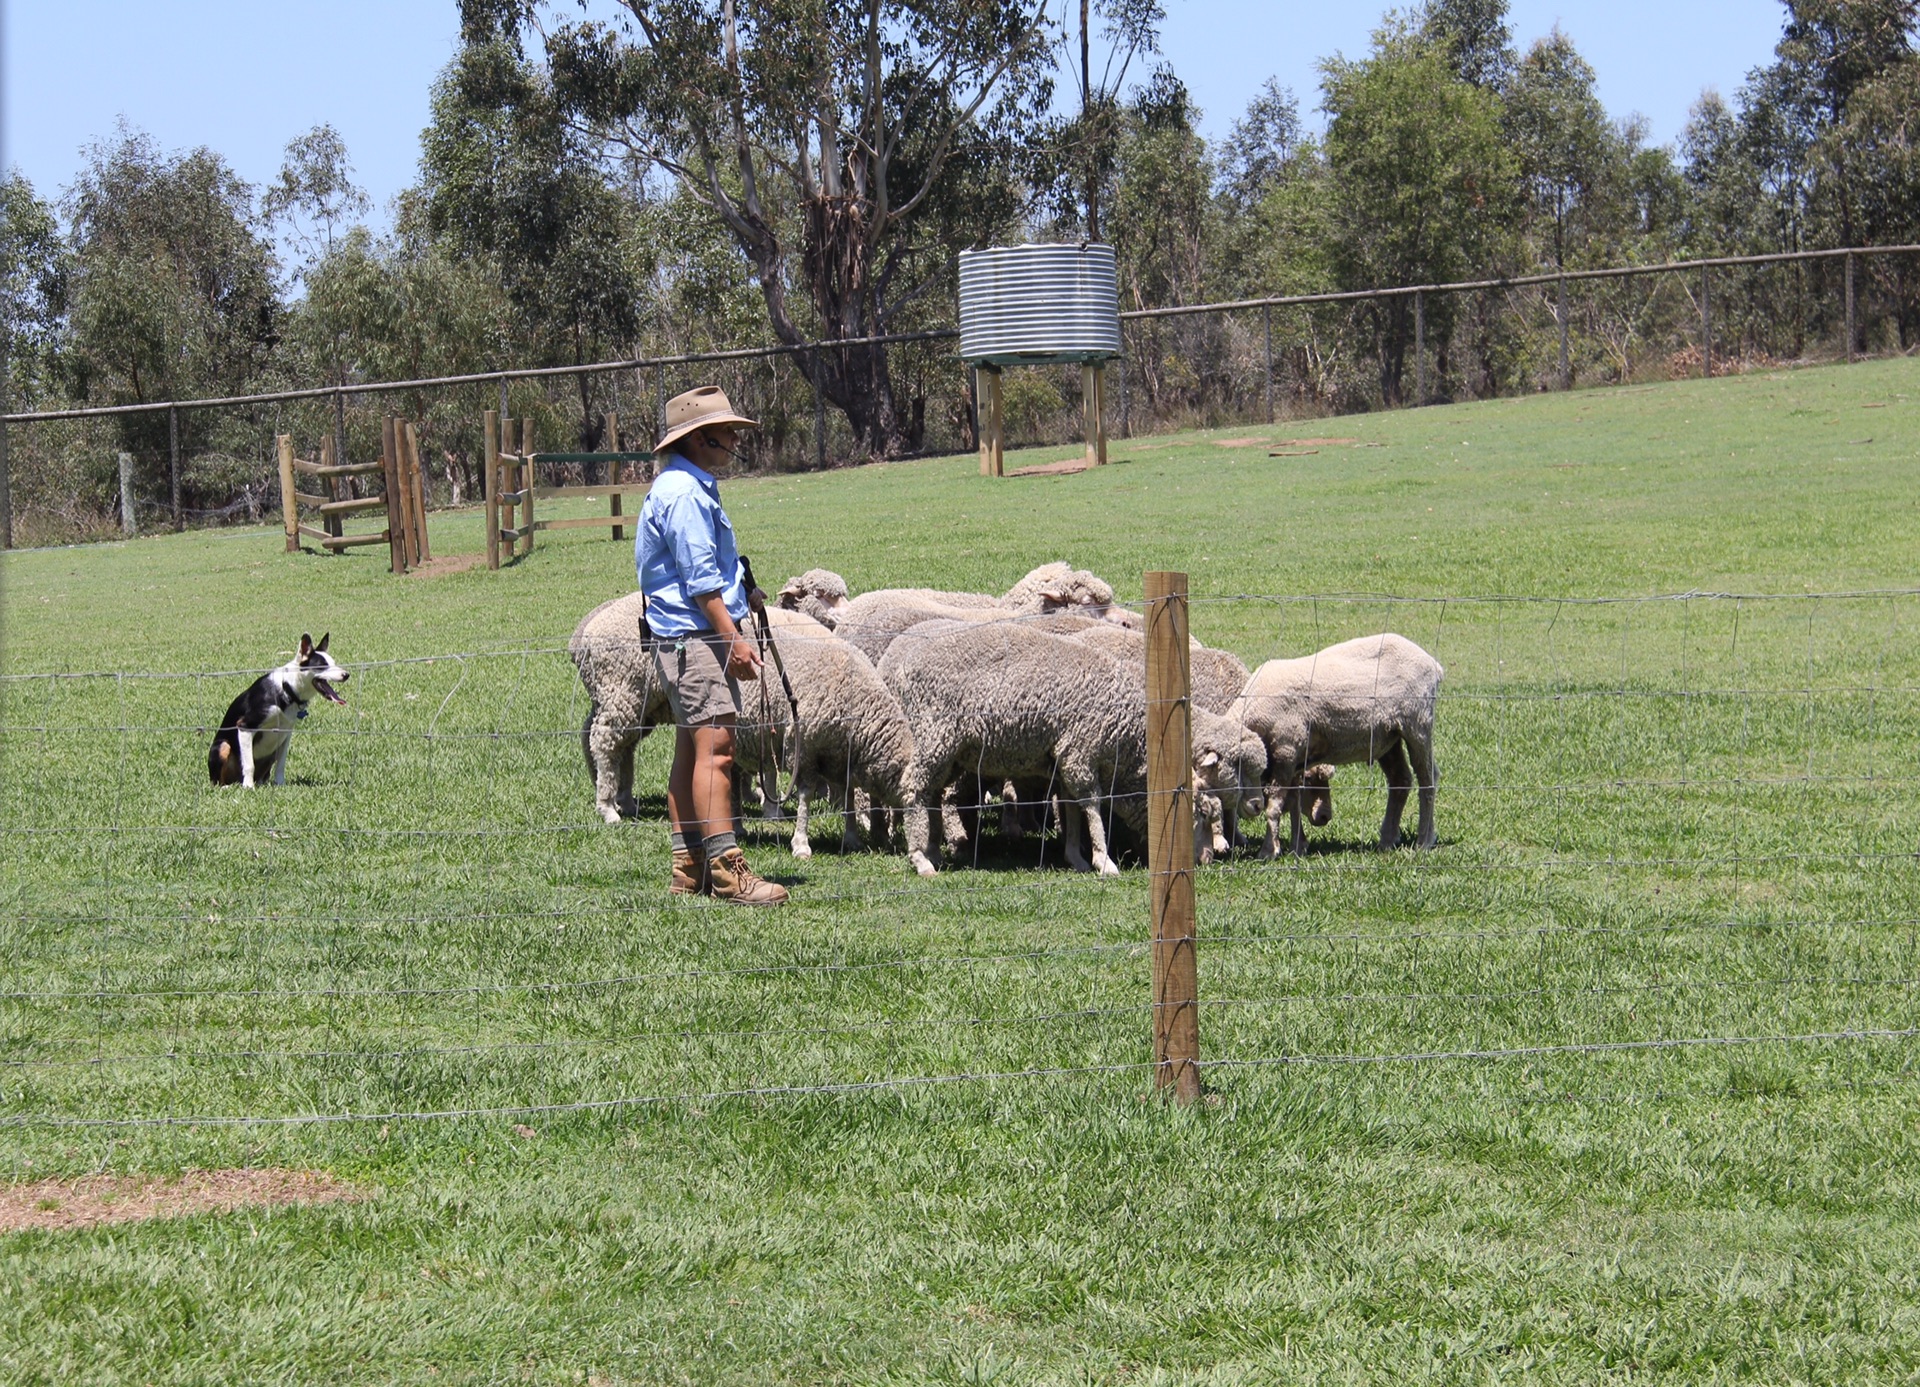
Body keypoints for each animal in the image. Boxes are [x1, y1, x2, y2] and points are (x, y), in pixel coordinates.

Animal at [1228, 633, 1443, 852]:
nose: (1253, 807)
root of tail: (1433, 663)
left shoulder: (1286, 750)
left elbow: (1275, 804)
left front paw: (1269, 850)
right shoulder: (1295, 757)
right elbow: (1294, 799)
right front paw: (1297, 846)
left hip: (1418, 724)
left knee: (1428, 779)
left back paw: (1424, 841)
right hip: (1388, 737)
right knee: (1401, 779)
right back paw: (1387, 841)